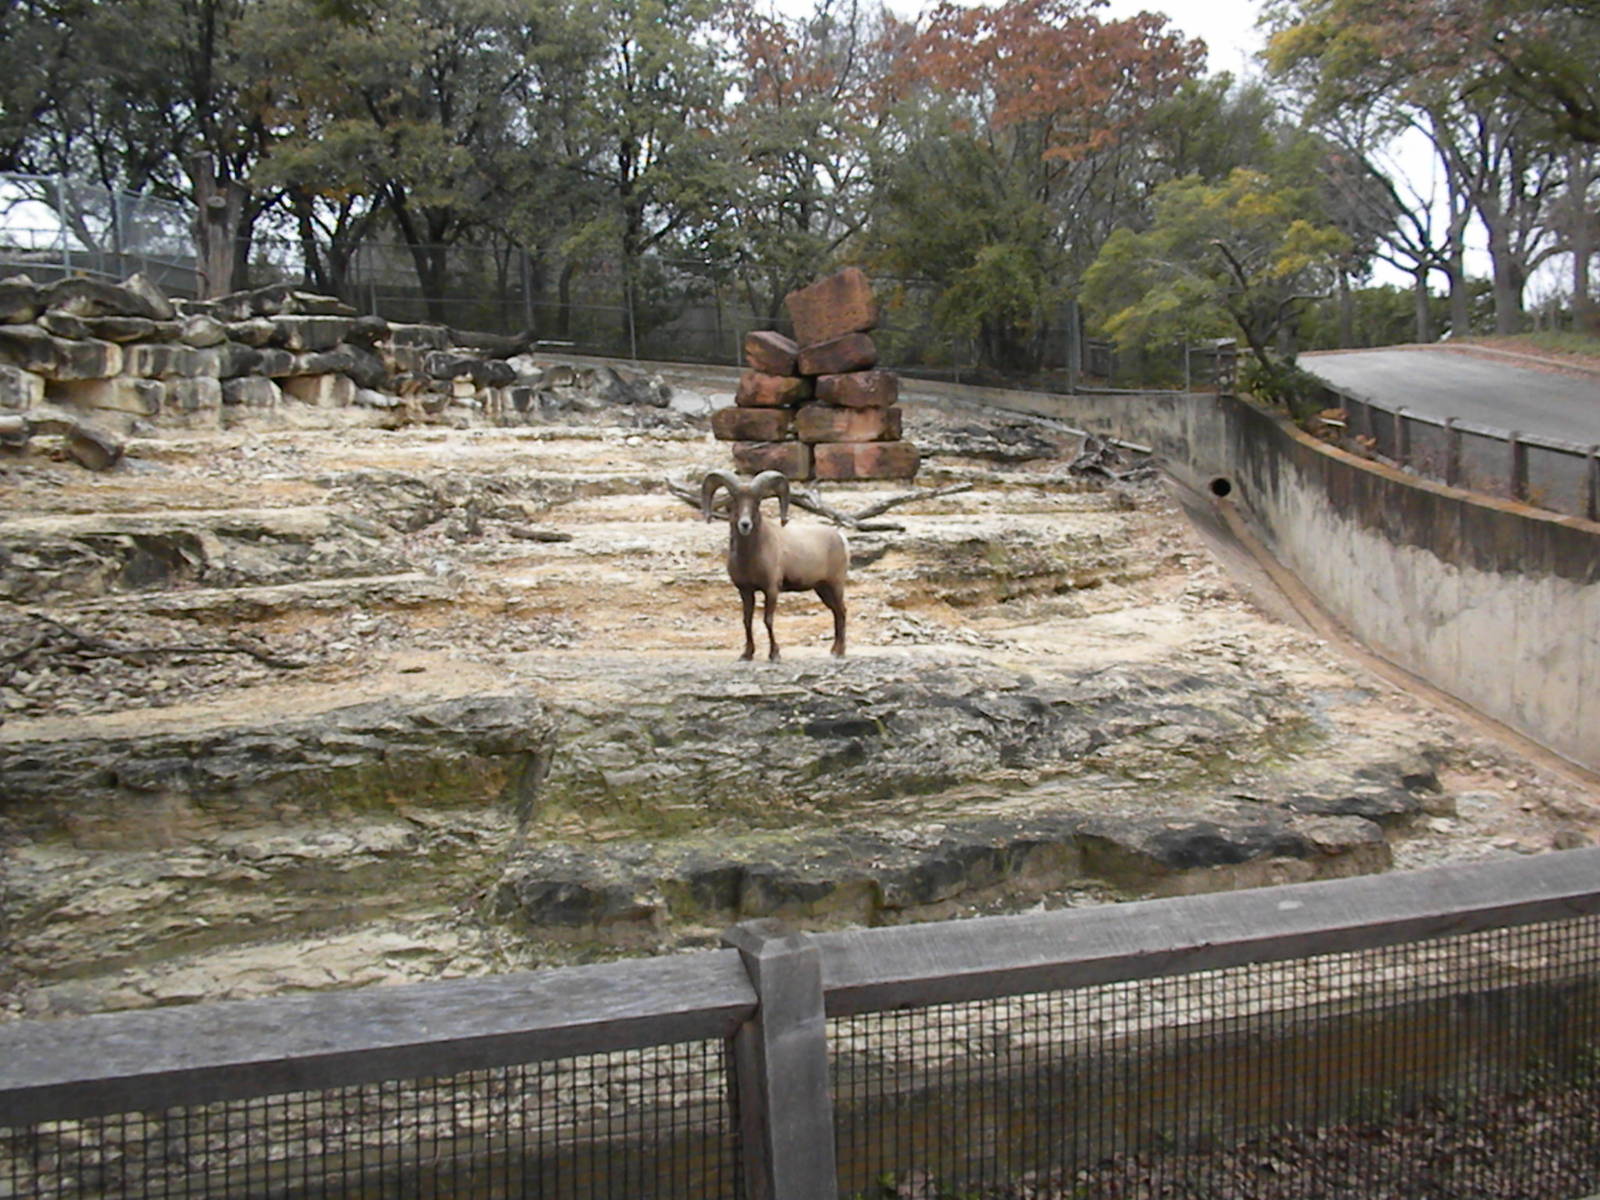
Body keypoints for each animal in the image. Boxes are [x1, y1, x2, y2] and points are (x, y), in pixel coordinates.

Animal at [701, 469, 848, 661]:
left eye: (757, 500)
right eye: (734, 499)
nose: (745, 524)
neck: (749, 557)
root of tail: (840, 538)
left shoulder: (771, 589)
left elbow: (767, 620)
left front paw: (775, 654)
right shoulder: (745, 591)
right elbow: (747, 620)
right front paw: (746, 654)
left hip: (835, 585)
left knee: (842, 612)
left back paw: (840, 652)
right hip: (822, 589)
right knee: (836, 612)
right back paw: (834, 650)